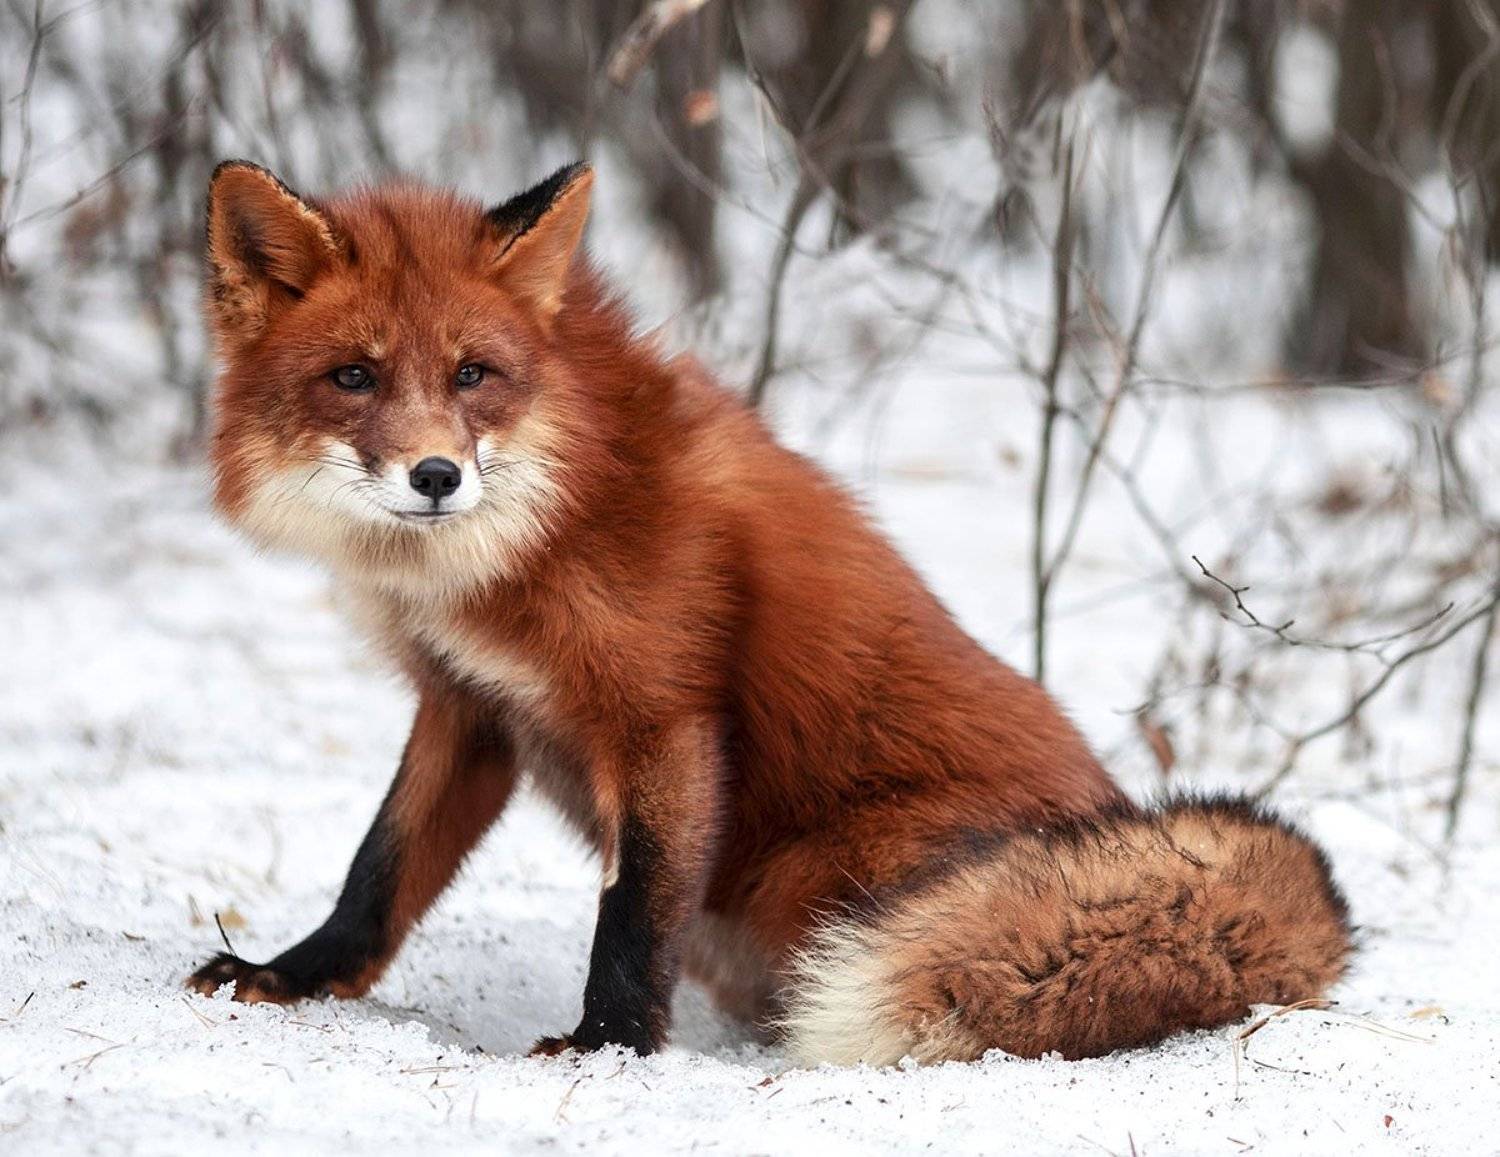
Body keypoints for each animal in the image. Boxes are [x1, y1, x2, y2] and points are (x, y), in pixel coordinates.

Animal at [186, 159, 1352, 1064]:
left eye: (474, 374)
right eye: (354, 376)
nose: (436, 476)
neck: (544, 524)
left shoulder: (664, 716)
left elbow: (630, 908)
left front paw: (610, 1044)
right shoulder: (470, 707)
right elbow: (379, 869)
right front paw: (294, 975)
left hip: (823, 874)